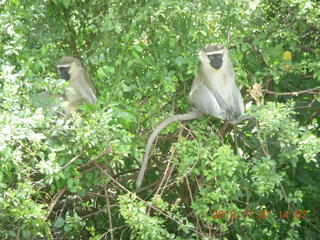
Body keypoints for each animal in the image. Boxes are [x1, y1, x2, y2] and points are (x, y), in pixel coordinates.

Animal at [136, 43, 246, 189]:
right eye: (211, 57)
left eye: (219, 55)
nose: (216, 63)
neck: (217, 71)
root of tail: (196, 109)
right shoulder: (205, 73)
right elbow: (213, 90)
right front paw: (227, 111)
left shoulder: (228, 67)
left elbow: (233, 85)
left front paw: (237, 111)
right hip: (197, 100)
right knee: (201, 90)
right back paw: (222, 114)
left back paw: (238, 114)